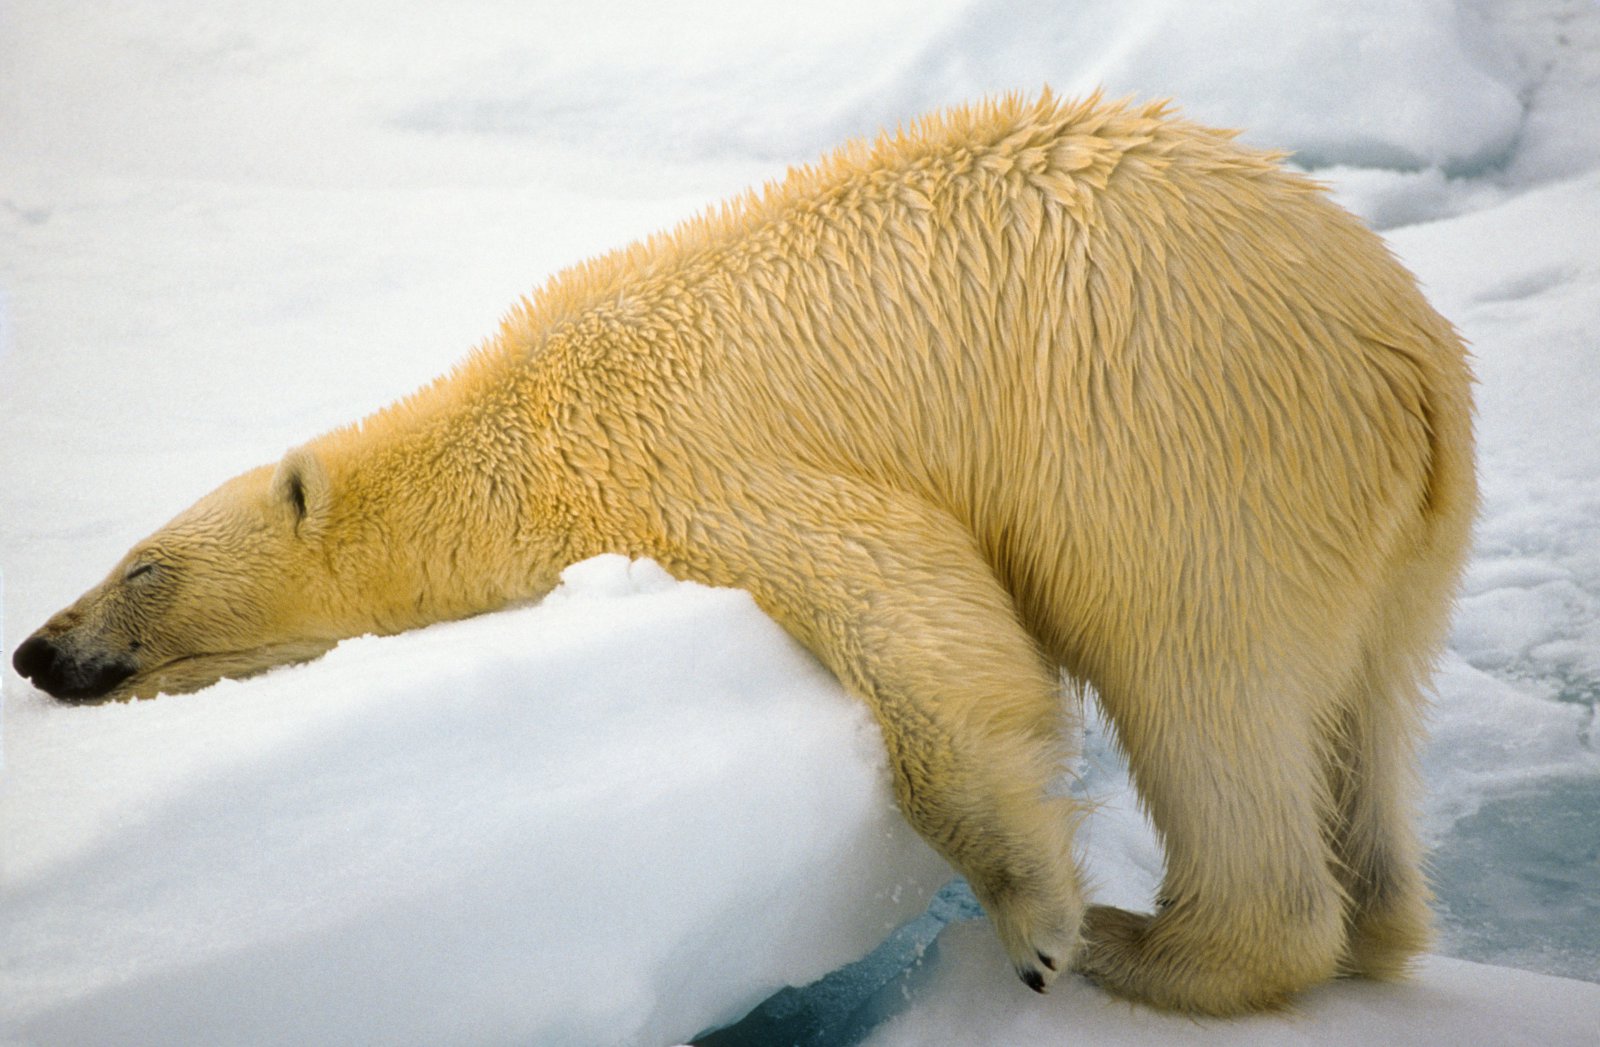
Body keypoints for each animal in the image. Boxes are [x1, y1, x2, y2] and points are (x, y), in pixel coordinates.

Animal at [12, 92, 1472, 1018]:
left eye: (139, 567)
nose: (36, 648)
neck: (515, 425)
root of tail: (1407, 356)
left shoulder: (683, 460)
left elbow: (919, 620)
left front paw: (1040, 920)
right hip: (1398, 527)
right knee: (1369, 698)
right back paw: (1374, 916)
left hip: (1184, 449)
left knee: (1200, 675)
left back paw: (1156, 947)